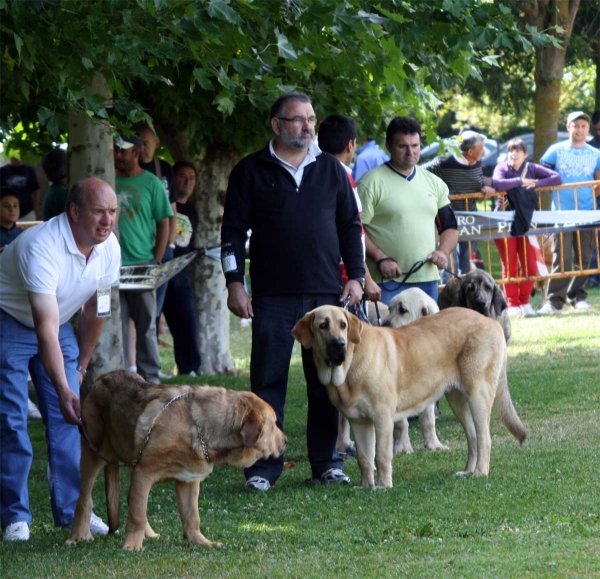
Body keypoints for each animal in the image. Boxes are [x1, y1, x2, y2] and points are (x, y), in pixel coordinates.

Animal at [67, 370, 288, 552]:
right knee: (84, 499)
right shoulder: (144, 473)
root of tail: (99, 380)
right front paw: (132, 545)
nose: (286, 441)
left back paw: (149, 534)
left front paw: (201, 542)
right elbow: (137, 514)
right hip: (93, 455)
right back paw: (78, 536)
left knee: (131, 499)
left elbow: (191, 517)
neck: (199, 428)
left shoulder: (188, 480)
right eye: (274, 424)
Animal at [292, 306, 528, 488]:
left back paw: (480, 472)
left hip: (477, 394)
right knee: (473, 438)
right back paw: (467, 471)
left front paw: (383, 486)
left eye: (343, 325)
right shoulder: (359, 423)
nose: (339, 344)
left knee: (484, 437)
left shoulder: (382, 418)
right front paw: (366, 485)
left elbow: (381, 456)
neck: (351, 363)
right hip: (457, 400)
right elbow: (365, 458)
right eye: (323, 325)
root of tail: (491, 321)